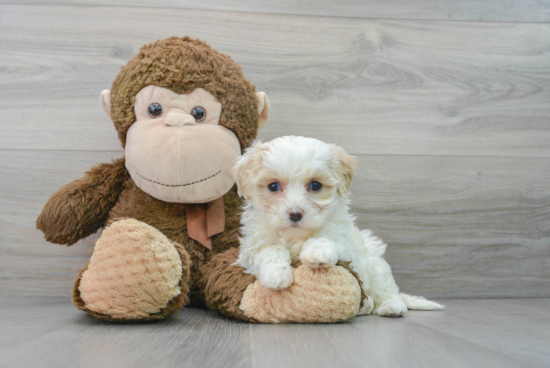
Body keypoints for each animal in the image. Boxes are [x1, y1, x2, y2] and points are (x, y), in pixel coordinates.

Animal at [233, 135, 444, 316]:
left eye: (315, 185)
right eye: (273, 186)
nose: (295, 214)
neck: (296, 236)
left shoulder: (345, 245)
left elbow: (326, 238)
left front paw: (316, 252)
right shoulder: (252, 249)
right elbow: (270, 250)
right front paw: (276, 274)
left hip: (376, 267)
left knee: (386, 290)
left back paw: (391, 306)